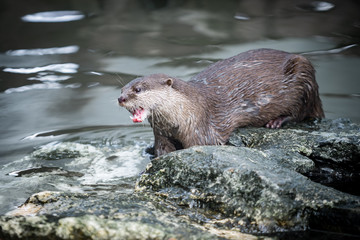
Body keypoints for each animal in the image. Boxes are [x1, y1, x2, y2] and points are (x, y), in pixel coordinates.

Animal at [117, 48, 324, 158]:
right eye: (121, 89)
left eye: (138, 89)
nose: (121, 98)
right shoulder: (161, 134)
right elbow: (162, 151)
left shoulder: (200, 132)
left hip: (304, 75)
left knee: (302, 112)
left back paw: (276, 121)